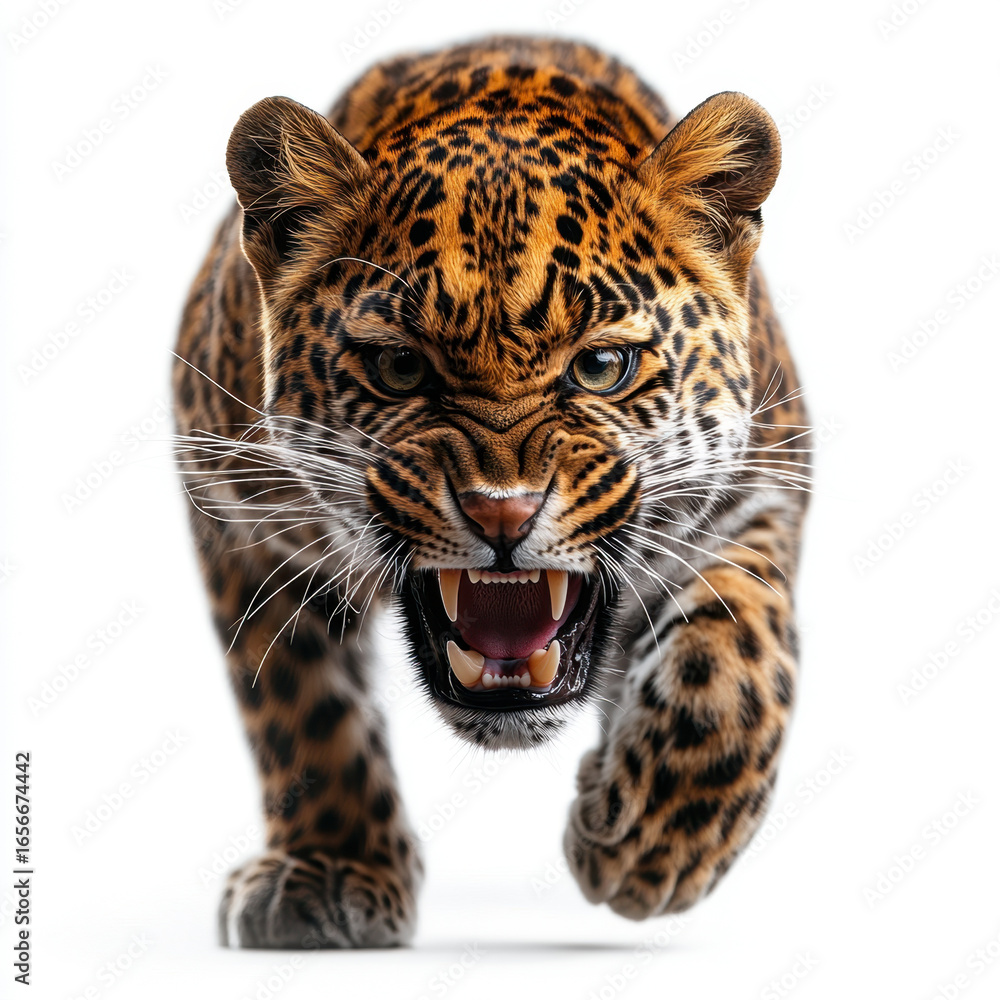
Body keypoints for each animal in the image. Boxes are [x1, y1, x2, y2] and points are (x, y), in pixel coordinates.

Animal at [172, 34, 811, 948]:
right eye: (399, 367)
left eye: (601, 366)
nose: (501, 510)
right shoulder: (239, 516)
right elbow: (302, 707)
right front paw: (330, 869)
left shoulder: (760, 485)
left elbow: (733, 659)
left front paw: (652, 844)